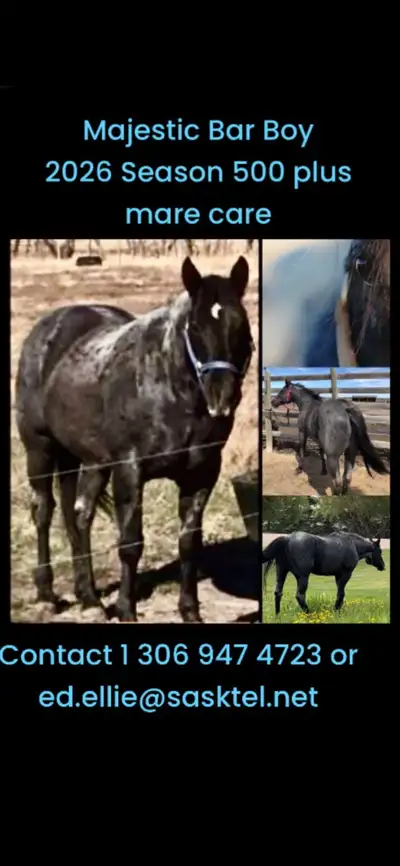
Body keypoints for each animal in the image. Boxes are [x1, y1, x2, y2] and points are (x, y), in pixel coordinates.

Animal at [14, 255, 255, 623]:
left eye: (240, 325)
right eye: (195, 328)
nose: (222, 398)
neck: (169, 390)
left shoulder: (201, 475)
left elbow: (189, 542)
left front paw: (190, 610)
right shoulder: (129, 470)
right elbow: (130, 543)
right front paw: (127, 609)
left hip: (91, 461)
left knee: (79, 516)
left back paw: (89, 598)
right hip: (40, 450)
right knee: (43, 511)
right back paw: (47, 594)